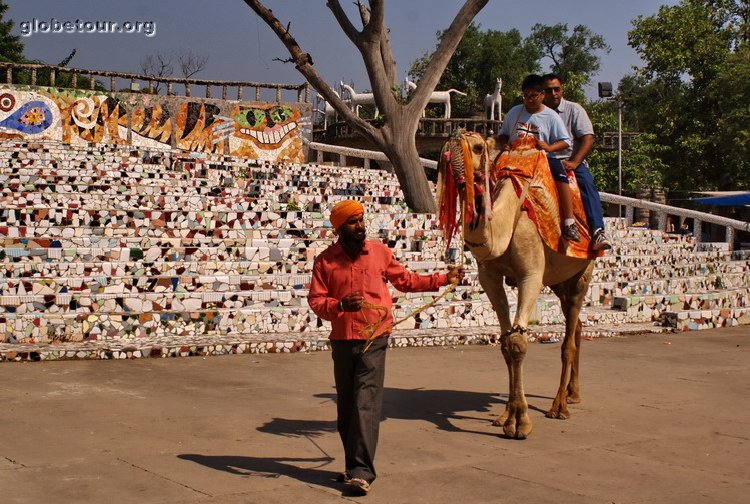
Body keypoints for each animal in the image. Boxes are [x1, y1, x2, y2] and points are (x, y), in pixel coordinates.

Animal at [438, 129, 596, 438]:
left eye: (477, 147)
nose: (451, 155)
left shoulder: (530, 275)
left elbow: (518, 342)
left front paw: (520, 422)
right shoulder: (490, 277)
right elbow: (505, 343)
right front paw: (505, 416)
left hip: (583, 273)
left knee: (568, 340)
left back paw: (560, 406)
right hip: (558, 281)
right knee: (578, 327)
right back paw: (573, 393)